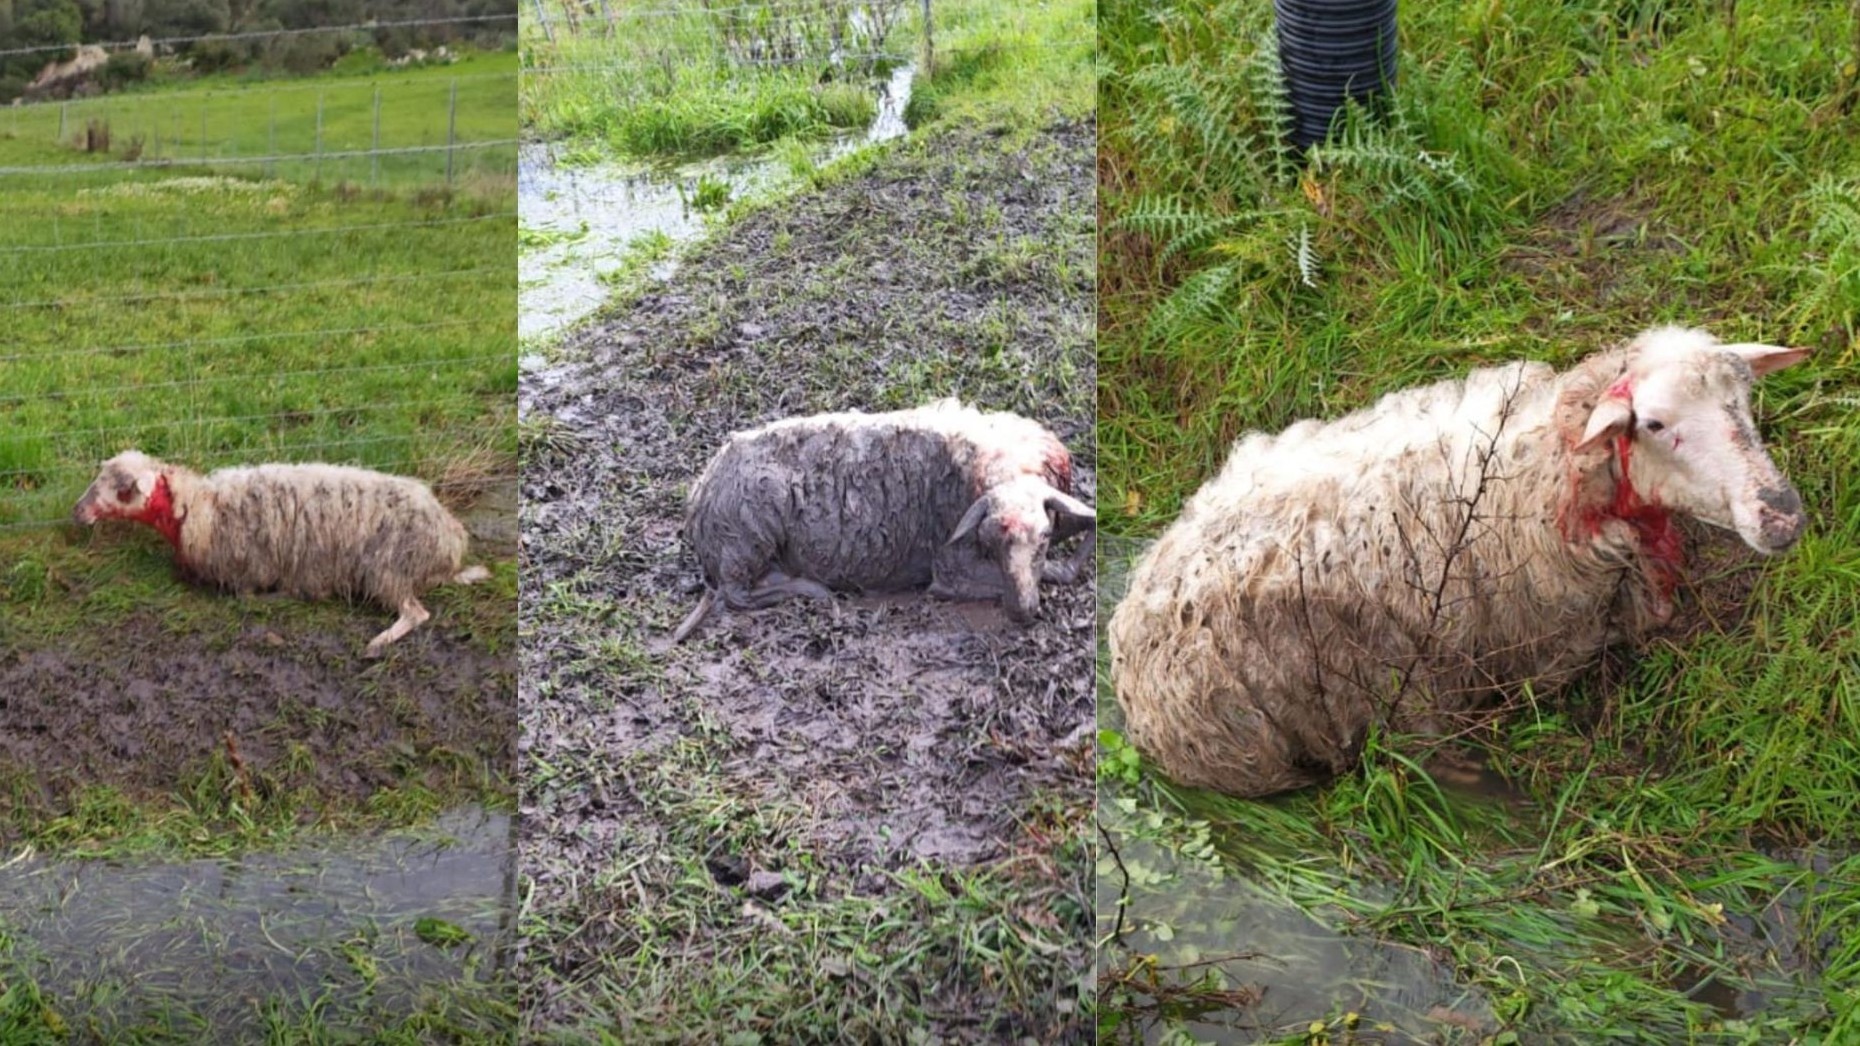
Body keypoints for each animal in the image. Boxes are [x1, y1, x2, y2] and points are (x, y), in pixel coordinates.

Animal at [73, 450, 491, 656]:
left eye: (122, 489)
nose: (77, 512)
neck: (198, 507)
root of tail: (451, 543)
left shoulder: (247, 572)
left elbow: (248, 597)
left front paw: (282, 596)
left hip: (388, 568)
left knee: (416, 613)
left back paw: (377, 644)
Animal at [672, 399, 1096, 642]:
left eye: (1044, 536)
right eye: (989, 541)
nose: (1020, 610)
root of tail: (699, 497)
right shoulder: (950, 570)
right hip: (748, 535)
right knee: (733, 594)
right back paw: (810, 588)